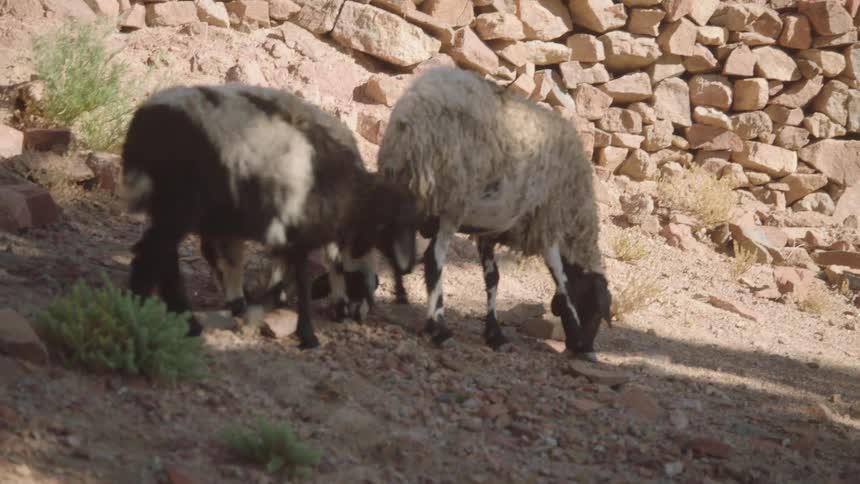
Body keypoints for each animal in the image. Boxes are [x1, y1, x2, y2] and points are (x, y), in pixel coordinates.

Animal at [120, 82, 419, 349]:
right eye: (393, 225)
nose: (358, 315)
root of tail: (143, 123)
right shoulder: (299, 228)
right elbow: (302, 279)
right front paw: (307, 334)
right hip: (181, 205)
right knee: (153, 253)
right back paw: (155, 312)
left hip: (174, 208)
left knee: (163, 255)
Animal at [377, 66, 612, 361]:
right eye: (596, 310)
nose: (590, 352)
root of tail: (413, 110)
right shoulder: (548, 224)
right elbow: (563, 283)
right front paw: (579, 339)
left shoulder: (489, 230)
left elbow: (493, 279)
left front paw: (495, 335)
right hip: (451, 199)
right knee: (432, 260)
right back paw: (440, 330)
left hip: (403, 190)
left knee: (389, 242)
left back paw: (400, 297)